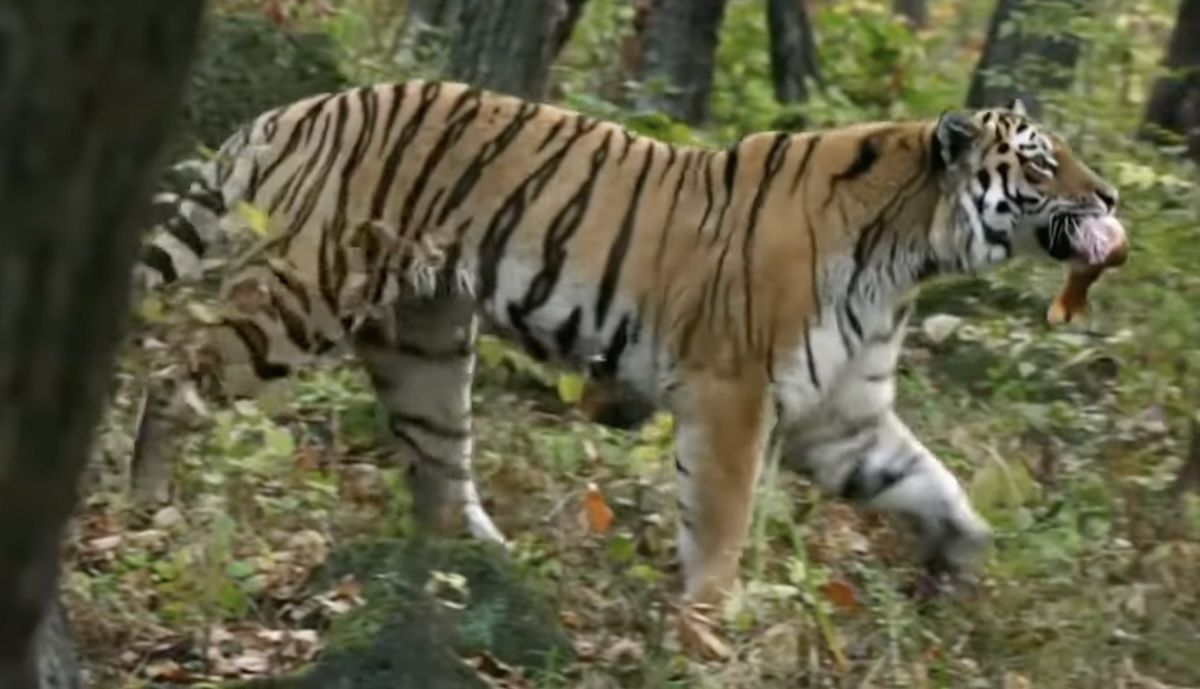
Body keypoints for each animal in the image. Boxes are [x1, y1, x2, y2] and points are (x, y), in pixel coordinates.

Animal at [131, 80, 1126, 606]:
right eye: (1042, 161)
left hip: (427, 342)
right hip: (300, 295)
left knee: (441, 466)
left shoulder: (842, 413)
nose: (1112, 196)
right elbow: (721, 518)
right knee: (175, 376)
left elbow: (934, 486)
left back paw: (486, 566)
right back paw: (149, 508)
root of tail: (291, 112)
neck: (911, 253)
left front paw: (961, 567)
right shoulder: (734, 392)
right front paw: (709, 626)